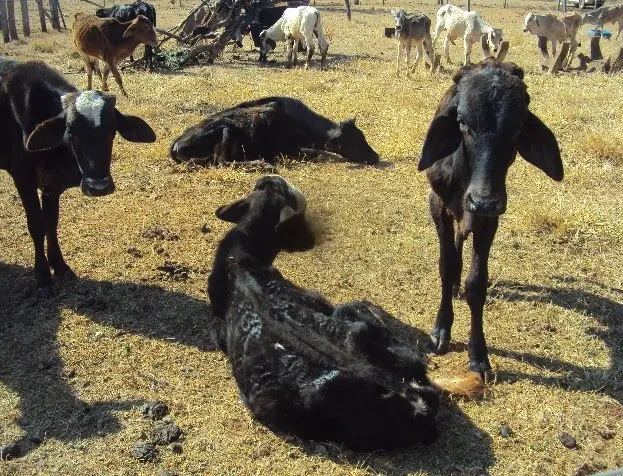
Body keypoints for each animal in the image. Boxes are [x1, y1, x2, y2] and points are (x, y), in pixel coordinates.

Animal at [0, 59, 156, 296]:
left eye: (112, 132)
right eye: (72, 132)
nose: (99, 187)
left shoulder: (52, 186)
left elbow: (51, 222)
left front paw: (60, 267)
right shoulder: (23, 179)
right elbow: (36, 225)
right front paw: (43, 276)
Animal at [168, 96, 378, 166]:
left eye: (362, 136)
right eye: (352, 141)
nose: (375, 157)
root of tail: (178, 140)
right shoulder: (289, 149)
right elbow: (317, 153)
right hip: (226, 128)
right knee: (222, 162)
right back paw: (262, 164)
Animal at [416, 59, 564, 380]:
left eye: (518, 126)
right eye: (462, 122)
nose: (482, 200)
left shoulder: (489, 218)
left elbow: (476, 283)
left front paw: (478, 354)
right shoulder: (438, 205)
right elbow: (446, 266)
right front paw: (441, 329)